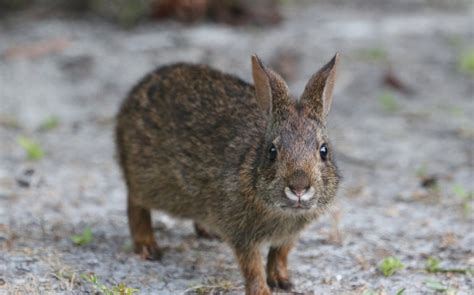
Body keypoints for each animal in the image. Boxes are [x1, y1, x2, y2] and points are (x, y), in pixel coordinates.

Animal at [117, 53, 342, 295]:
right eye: (272, 152)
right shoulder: (241, 233)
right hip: (146, 180)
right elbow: (252, 265)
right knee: (135, 204)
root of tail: (136, 92)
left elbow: (279, 255)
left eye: (324, 151)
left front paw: (283, 282)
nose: (299, 187)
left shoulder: (288, 235)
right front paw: (262, 291)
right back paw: (147, 247)